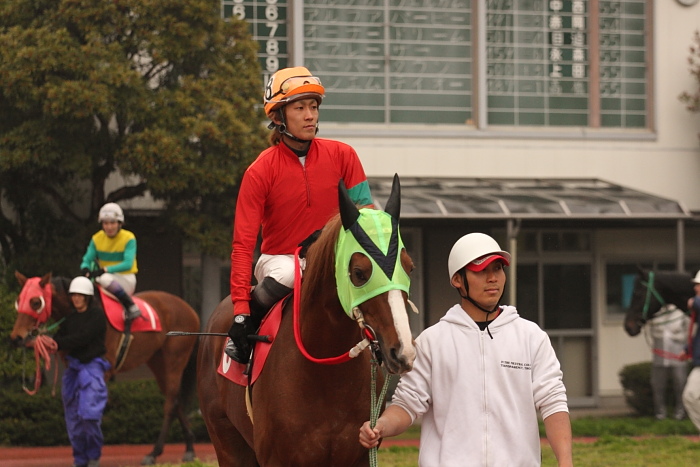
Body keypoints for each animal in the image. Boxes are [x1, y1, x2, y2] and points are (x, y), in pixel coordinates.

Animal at [11, 272, 202, 466]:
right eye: (19, 300)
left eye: (36, 302)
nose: (16, 337)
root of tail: (190, 309)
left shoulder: (103, 371)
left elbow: (91, 409)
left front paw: (93, 455)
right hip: (157, 362)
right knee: (176, 400)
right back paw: (189, 448)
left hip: (174, 360)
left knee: (170, 403)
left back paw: (154, 452)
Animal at [197, 176, 416, 467]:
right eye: (359, 273)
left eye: (410, 267)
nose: (402, 351)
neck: (327, 380)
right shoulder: (277, 459)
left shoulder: (360, 454)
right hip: (226, 441)